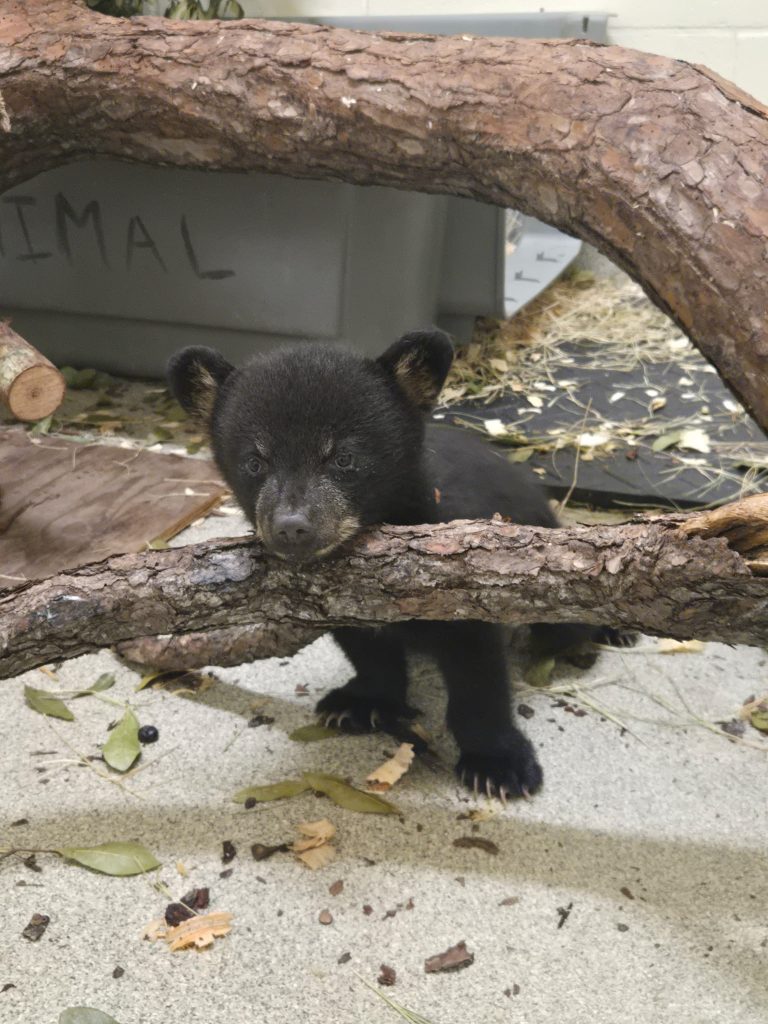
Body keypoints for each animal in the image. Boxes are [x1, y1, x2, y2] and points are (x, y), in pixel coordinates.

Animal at [168, 329, 627, 800]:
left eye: (344, 458)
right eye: (254, 461)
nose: (292, 527)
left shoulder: (464, 581)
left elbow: (478, 675)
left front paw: (498, 764)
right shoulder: (341, 607)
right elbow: (369, 653)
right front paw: (360, 702)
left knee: (567, 625)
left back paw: (613, 629)